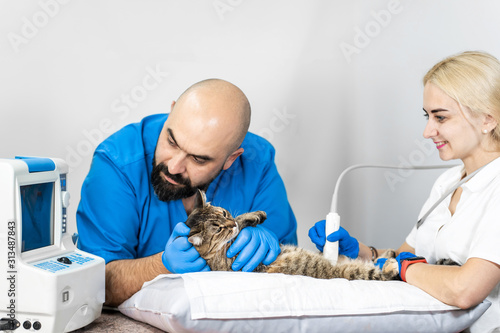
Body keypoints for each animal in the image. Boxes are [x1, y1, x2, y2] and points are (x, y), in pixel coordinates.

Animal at [186, 189, 400, 280]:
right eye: (218, 229)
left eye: (223, 213)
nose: (228, 224)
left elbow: (241, 220)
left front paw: (254, 216)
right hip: (351, 271)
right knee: (377, 273)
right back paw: (390, 265)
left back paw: (389, 254)